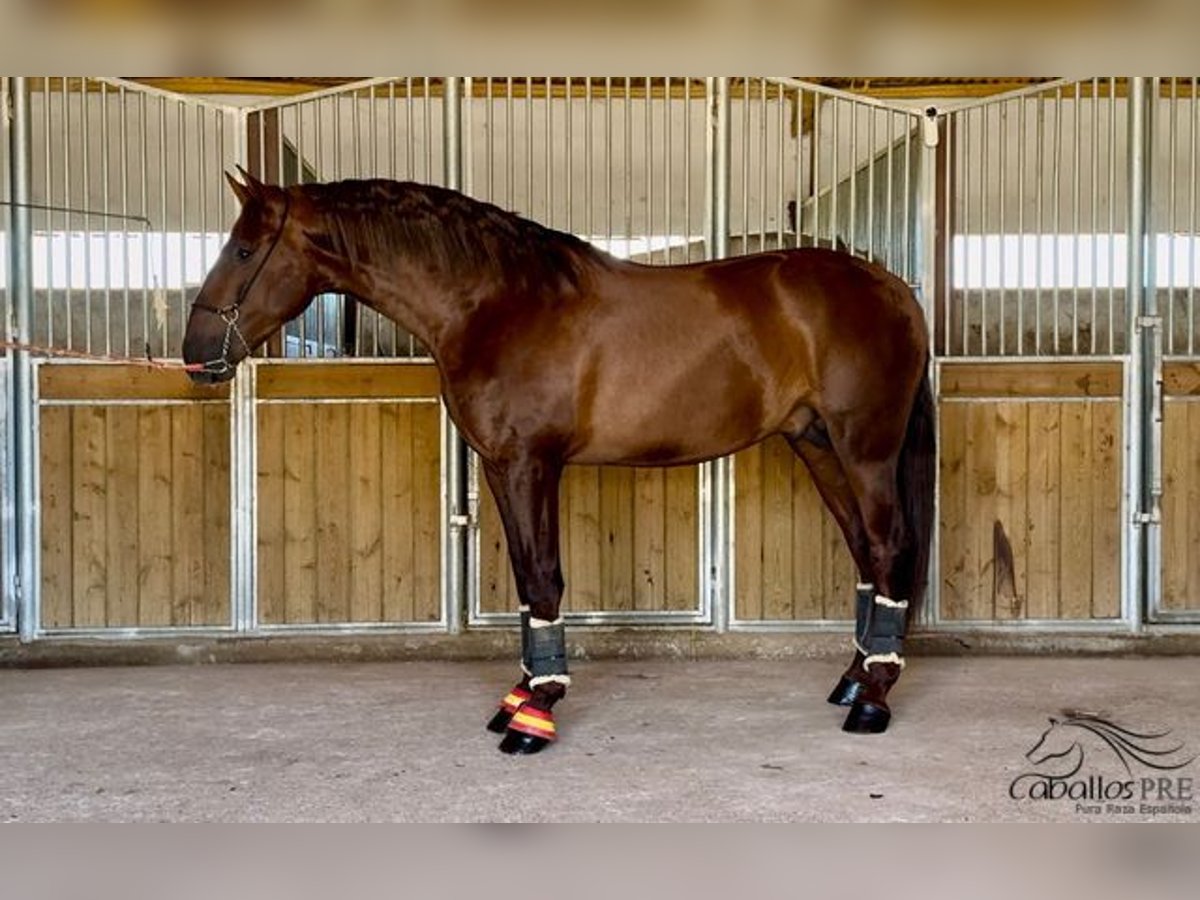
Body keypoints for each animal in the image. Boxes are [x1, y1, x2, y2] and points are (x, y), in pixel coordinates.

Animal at [182, 169, 931, 753]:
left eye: (243, 248)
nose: (195, 354)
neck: (498, 304)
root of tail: (894, 289)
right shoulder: (499, 468)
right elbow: (523, 576)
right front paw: (518, 696)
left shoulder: (530, 464)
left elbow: (544, 577)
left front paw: (535, 714)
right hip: (818, 445)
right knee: (866, 553)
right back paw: (852, 681)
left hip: (865, 449)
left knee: (890, 547)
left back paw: (873, 700)